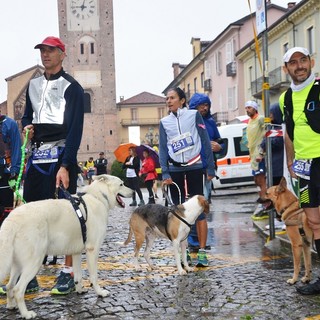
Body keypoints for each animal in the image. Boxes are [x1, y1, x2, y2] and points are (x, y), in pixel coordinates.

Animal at [0, 174, 132, 318]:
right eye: (121, 184)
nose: (133, 192)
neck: (99, 197)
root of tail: (12, 219)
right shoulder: (92, 250)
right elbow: (94, 276)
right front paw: (100, 292)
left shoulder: (77, 252)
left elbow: (78, 275)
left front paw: (80, 290)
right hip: (34, 261)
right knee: (18, 289)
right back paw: (26, 314)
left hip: (17, 263)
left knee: (9, 286)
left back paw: (11, 306)